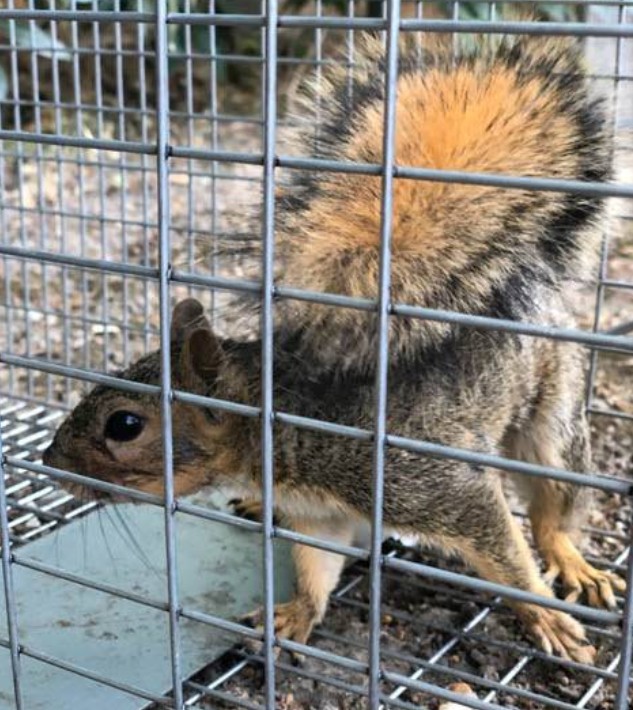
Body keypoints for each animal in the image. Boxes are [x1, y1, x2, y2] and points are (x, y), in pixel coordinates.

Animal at [43, 32, 625, 665]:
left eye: (124, 425)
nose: (49, 464)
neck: (278, 431)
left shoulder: (428, 484)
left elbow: (505, 553)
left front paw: (545, 615)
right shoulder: (315, 514)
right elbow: (316, 564)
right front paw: (296, 613)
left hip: (553, 409)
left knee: (554, 501)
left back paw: (570, 559)